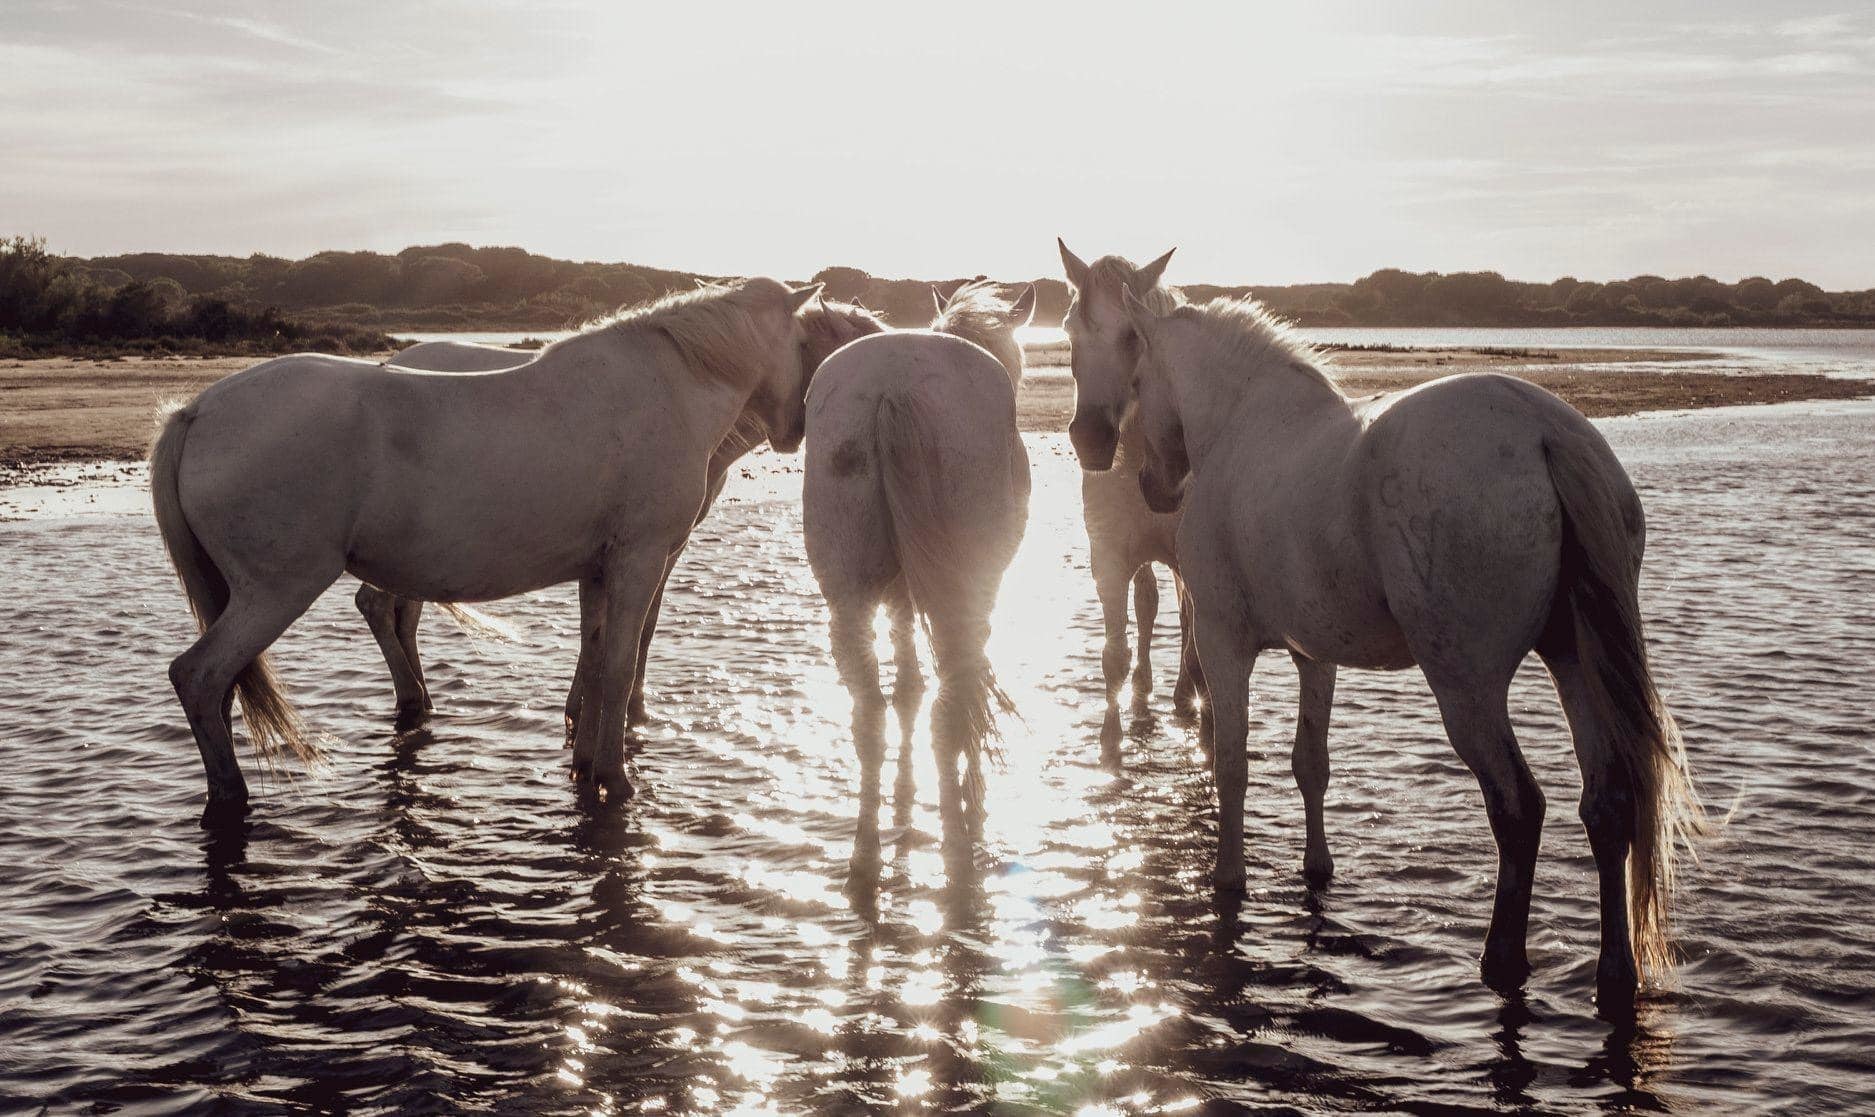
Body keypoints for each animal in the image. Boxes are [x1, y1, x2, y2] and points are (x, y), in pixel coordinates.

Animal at [157, 277, 832, 820]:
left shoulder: (600, 570)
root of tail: (198, 409)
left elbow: (593, 660)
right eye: (806, 346)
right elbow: (618, 668)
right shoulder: (640, 561)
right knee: (200, 678)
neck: (668, 387)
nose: (796, 431)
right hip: (276, 590)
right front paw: (617, 780)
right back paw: (230, 796)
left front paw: (586, 764)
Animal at [358, 305, 885, 727]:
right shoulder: (648, 546)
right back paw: (413, 698)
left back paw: (420, 696)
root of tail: (398, 359)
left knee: (400, 613)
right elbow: (636, 627)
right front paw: (617, 708)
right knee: (378, 606)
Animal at [806, 281, 1042, 888]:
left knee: (869, 712)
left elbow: (907, 687)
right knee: (953, 699)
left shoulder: (900, 598)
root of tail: (894, 388)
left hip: (847, 597)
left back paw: (866, 853)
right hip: (966, 590)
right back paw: (959, 845)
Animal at [1057, 239, 1200, 753]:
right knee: (1149, 604)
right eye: (1070, 330)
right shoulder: (1109, 557)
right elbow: (1114, 654)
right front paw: (1110, 745)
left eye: (1132, 337)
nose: (1090, 438)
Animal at [1117, 288, 1710, 1012]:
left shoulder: (1222, 639)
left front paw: (1228, 879)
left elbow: (1230, 763)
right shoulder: (1313, 651)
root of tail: (1544, 432)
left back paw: (1501, 960)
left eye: (1138, 380)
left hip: (1466, 687)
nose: (1152, 484)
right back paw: (1613, 975)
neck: (1242, 425)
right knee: (1608, 804)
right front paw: (1311, 867)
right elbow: (1308, 763)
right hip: (1575, 662)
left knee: (1518, 806)